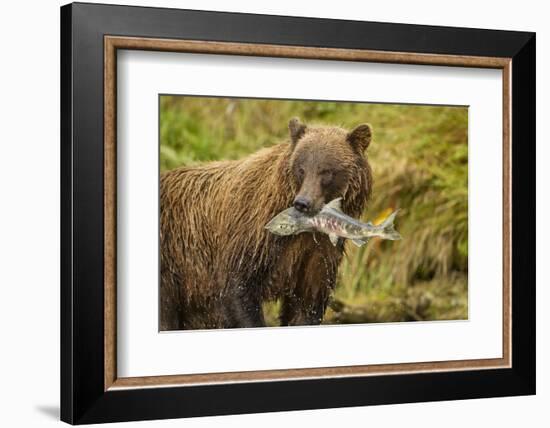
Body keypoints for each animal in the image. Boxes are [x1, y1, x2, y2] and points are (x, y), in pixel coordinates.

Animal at [161, 117, 376, 332]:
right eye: (301, 168)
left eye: (327, 171)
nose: (303, 203)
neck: (305, 229)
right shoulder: (252, 235)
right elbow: (238, 290)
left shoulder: (318, 253)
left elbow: (308, 303)